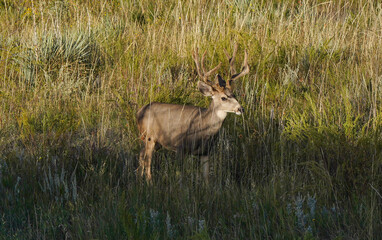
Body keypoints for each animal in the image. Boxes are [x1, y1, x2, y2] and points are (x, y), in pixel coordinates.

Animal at [136, 45, 249, 183]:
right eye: (223, 98)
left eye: (234, 95)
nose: (240, 109)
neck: (203, 127)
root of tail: (140, 111)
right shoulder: (180, 147)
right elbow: (180, 176)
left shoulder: (206, 152)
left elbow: (206, 178)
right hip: (149, 136)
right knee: (147, 161)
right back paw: (149, 182)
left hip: (157, 142)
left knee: (141, 155)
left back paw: (139, 178)